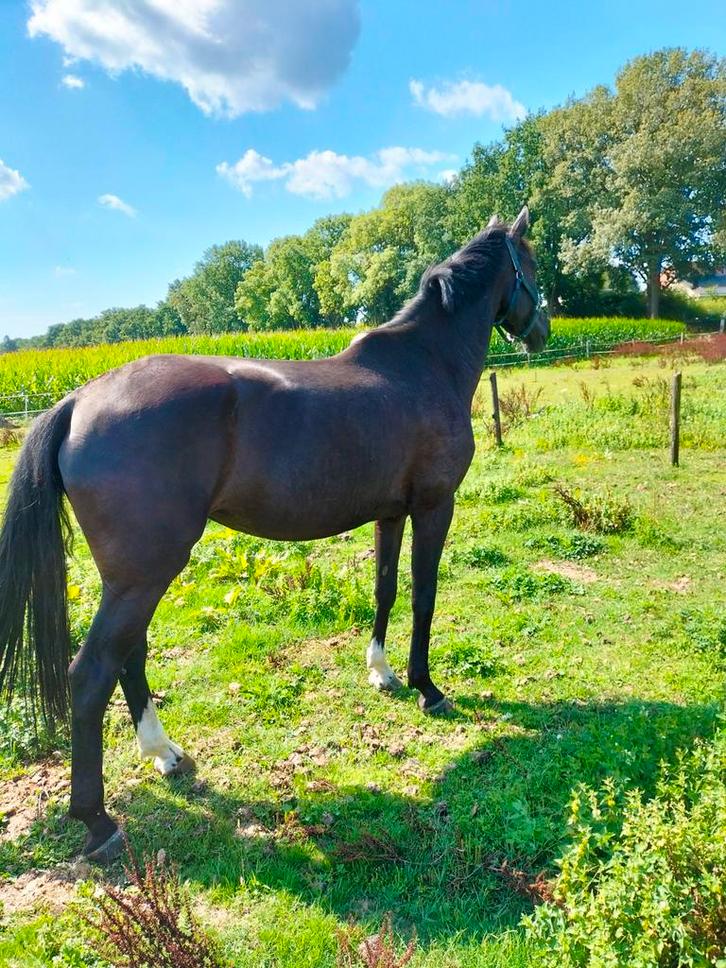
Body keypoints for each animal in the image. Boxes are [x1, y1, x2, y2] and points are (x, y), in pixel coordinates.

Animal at [0, 206, 548, 863]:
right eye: (532, 263)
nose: (543, 330)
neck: (424, 365)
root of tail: (79, 399)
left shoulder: (390, 514)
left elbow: (386, 589)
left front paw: (382, 672)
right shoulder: (433, 507)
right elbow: (423, 595)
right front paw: (427, 687)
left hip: (132, 579)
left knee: (128, 655)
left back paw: (163, 754)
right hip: (144, 576)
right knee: (92, 674)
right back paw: (99, 822)